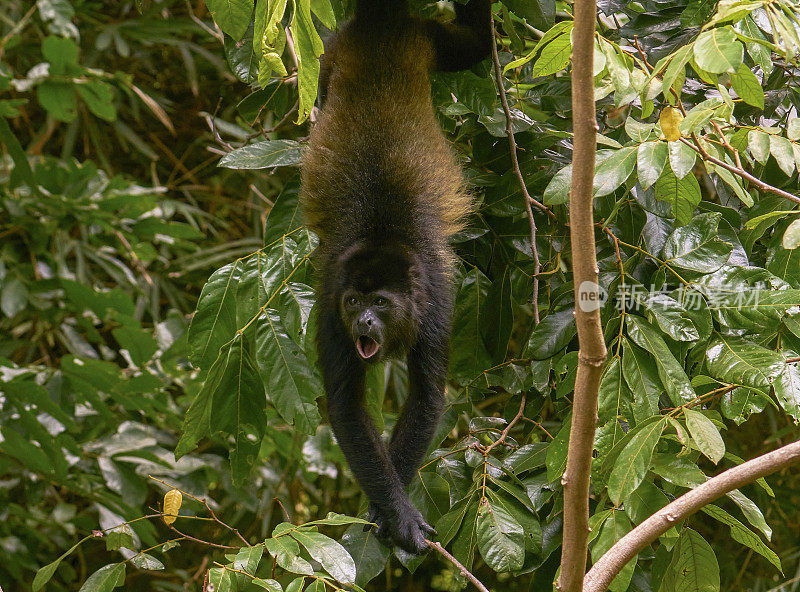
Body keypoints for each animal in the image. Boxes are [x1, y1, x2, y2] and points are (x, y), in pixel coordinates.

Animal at [298, 1, 490, 556]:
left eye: (380, 302)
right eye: (355, 301)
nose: (363, 320)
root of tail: (381, 21)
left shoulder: (438, 298)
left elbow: (427, 396)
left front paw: (389, 512)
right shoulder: (329, 301)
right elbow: (346, 406)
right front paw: (396, 511)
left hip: (426, 40)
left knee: (476, 45)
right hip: (335, 50)